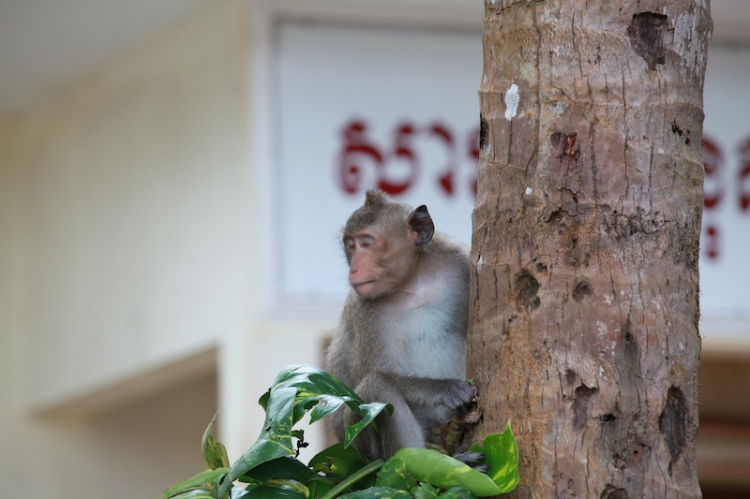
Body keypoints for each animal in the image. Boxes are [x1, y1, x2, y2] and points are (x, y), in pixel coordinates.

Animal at [326, 190, 472, 460]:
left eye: (366, 243)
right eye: (350, 245)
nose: (354, 269)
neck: (414, 283)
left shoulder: (464, 265)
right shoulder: (365, 309)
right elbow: (376, 374)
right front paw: (445, 389)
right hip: (361, 445)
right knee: (378, 387)